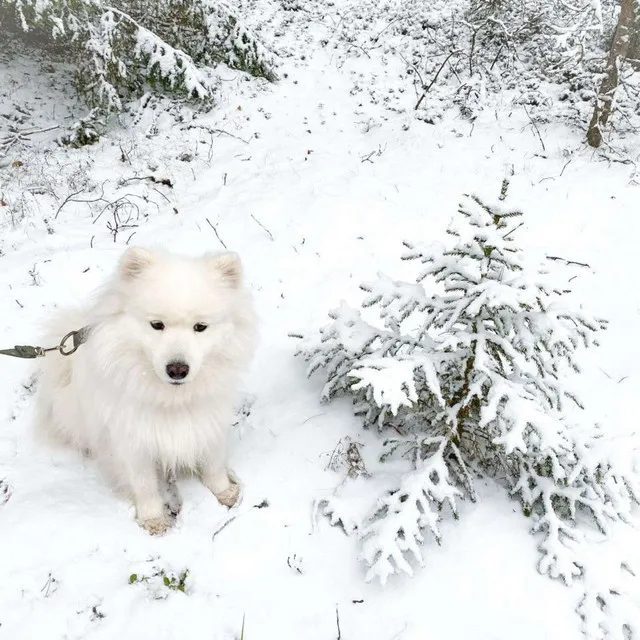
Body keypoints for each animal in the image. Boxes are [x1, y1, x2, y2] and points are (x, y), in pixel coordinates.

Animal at [35, 248, 258, 532]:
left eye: (200, 327)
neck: (173, 401)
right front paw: (154, 520)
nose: (177, 369)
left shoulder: (208, 421)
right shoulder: (133, 439)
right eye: (157, 325)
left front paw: (225, 493)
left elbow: (213, 463)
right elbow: (144, 485)